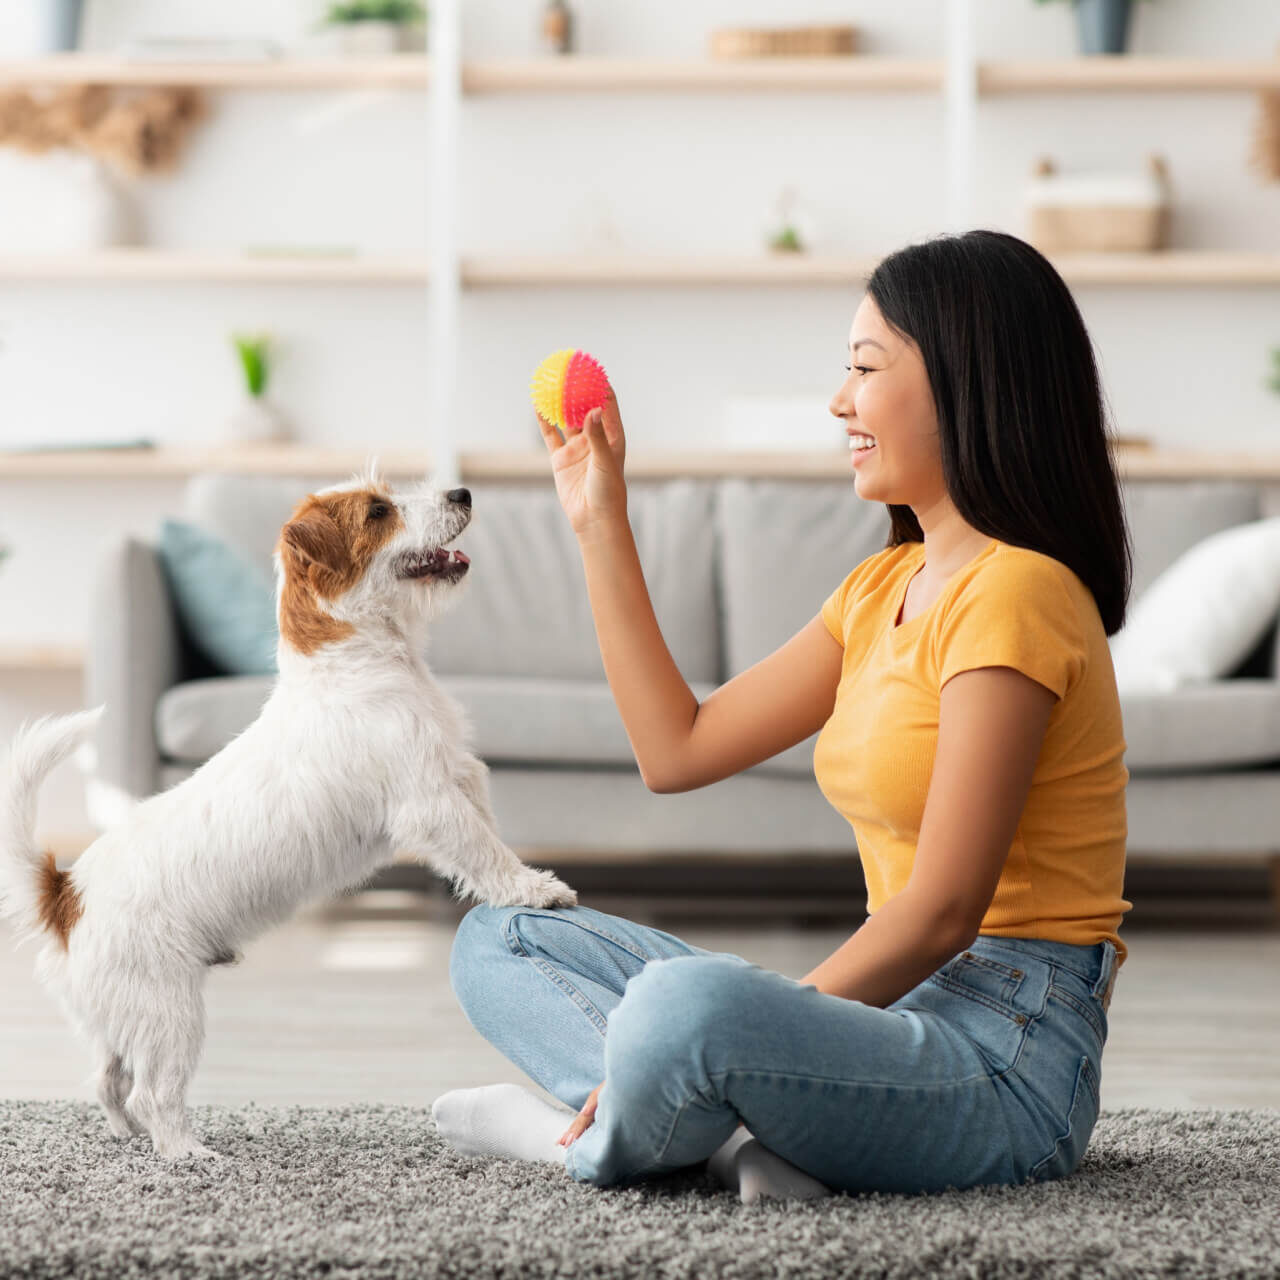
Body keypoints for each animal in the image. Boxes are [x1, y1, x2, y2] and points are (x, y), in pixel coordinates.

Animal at [0, 468, 578, 1162]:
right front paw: (536, 889)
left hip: (122, 1016)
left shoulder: (463, 778)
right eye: (378, 511)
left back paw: (127, 1135)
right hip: (169, 1013)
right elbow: (486, 853)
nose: (463, 493)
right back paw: (189, 1154)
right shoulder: (433, 804)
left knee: (107, 1081)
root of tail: (65, 894)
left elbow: (490, 836)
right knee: (150, 1093)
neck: (356, 659)